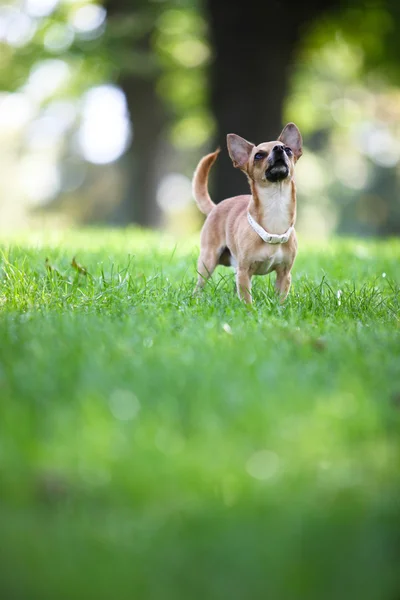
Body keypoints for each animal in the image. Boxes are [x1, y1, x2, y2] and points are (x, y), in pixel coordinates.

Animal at [192, 125, 302, 308]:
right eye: (258, 155)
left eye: (288, 150)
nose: (279, 148)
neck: (275, 204)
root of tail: (216, 206)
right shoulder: (244, 272)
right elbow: (247, 299)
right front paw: (250, 311)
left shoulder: (284, 275)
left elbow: (280, 298)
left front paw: (278, 310)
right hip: (208, 261)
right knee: (199, 285)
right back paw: (196, 299)